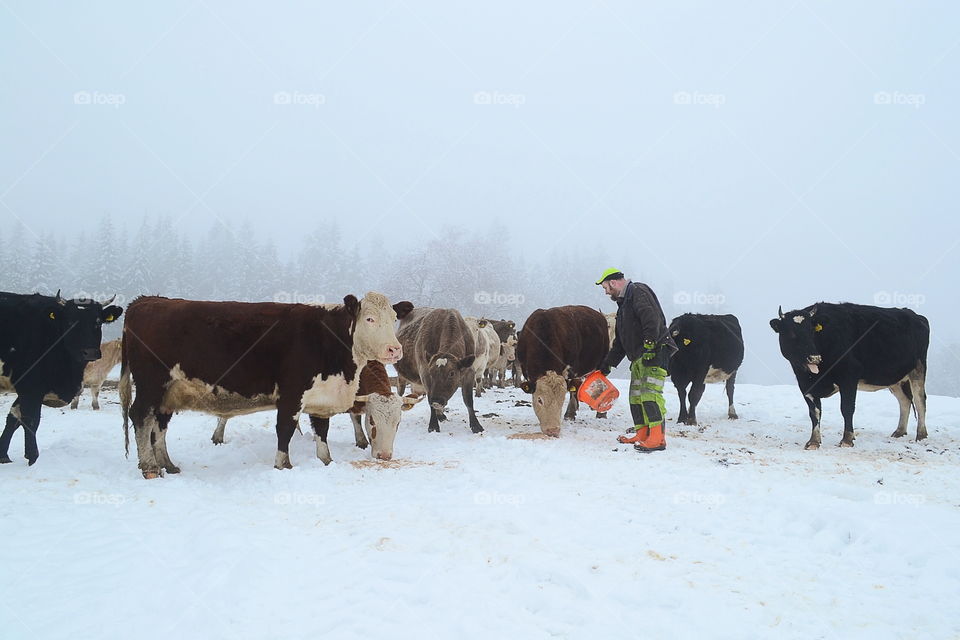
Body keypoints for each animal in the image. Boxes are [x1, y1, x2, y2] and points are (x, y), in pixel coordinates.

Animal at [0, 292, 124, 464]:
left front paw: (3, 456)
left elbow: (13, 418)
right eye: (70, 322)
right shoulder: (30, 387)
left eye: (98, 322)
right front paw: (33, 458)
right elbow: (31, 420)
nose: (90, 352)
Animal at [118, 292, 410, 478]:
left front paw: (326, 461)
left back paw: (167, 464)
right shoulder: (292, 392)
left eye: (393, 317)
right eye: (369, 319)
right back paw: (150, 467)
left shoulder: (320, 396)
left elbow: (321, 431)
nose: (395, 349)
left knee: (159, 425)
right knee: (141, 416)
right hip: (152, 384)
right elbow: (285, 429)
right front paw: (283, 465)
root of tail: (146, 300)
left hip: (169, 391)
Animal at [772, 302, 928, 448]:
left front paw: (847, 439)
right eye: (791, 333)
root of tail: (915, 315)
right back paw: (899, 432)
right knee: (904, 401)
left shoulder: (849, 376)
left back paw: (921, 435)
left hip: (918, 369)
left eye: (812, 331)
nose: (814, 357)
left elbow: (847, 408)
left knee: (920, 401)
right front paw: (813, 442)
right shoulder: (805, 384)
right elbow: (815, 412)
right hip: (894, 378)